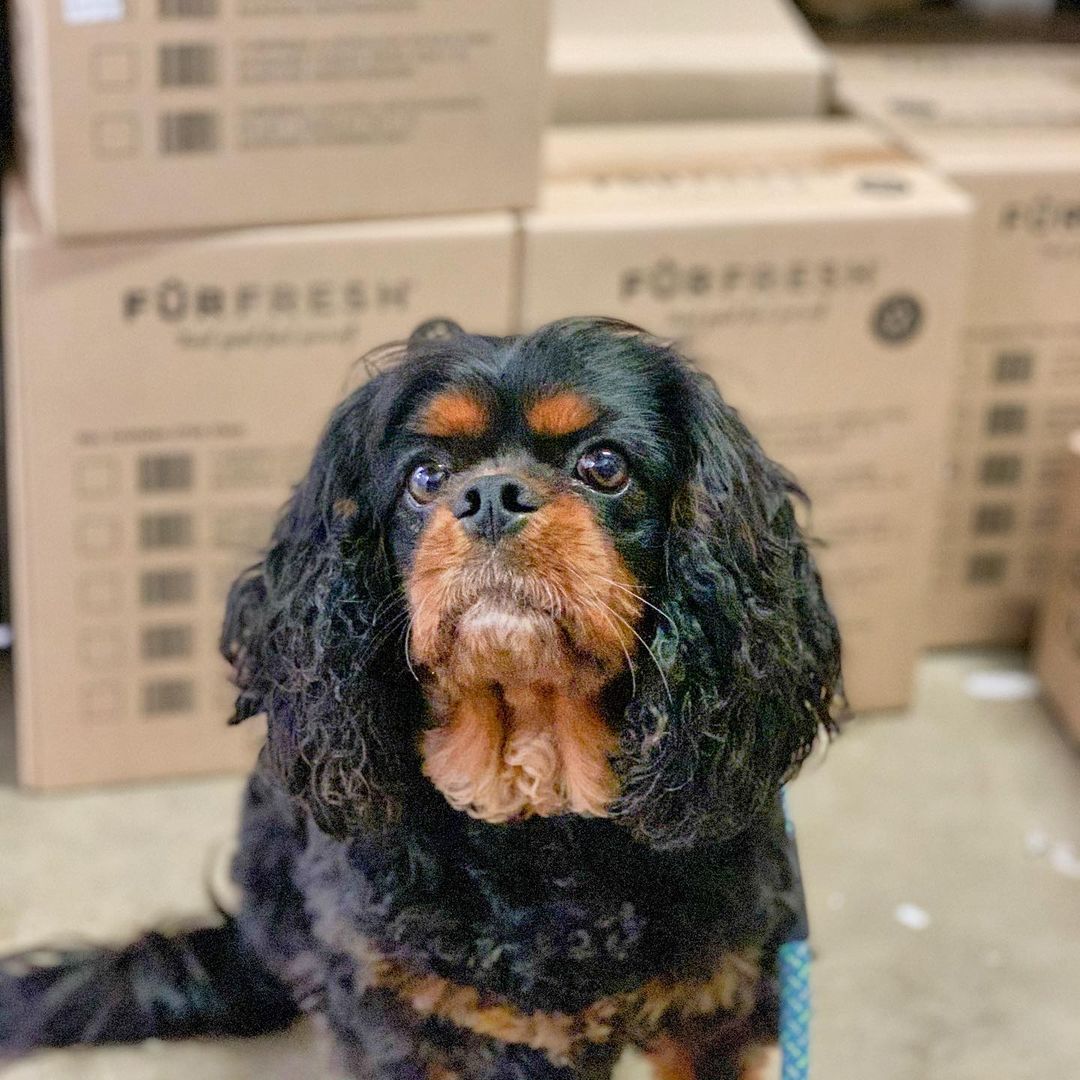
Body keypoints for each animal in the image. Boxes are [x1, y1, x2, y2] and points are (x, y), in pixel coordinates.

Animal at [0, 315, 842, 1075]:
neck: (536, 802)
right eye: (426, 479)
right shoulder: (400, 1025)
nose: (491, 494)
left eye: (605, 465)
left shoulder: (716, 1012)